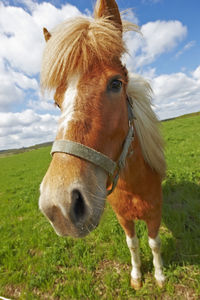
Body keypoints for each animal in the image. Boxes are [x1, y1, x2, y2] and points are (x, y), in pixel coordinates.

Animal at [38, 0, 166, 290]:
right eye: (57, 102)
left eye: (116, 83)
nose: (59, 206)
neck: (134, 185)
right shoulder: (124, 218)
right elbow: (133, 245)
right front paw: (137, 277)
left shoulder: (155, 214)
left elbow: (154, 244)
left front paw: (160, 276)